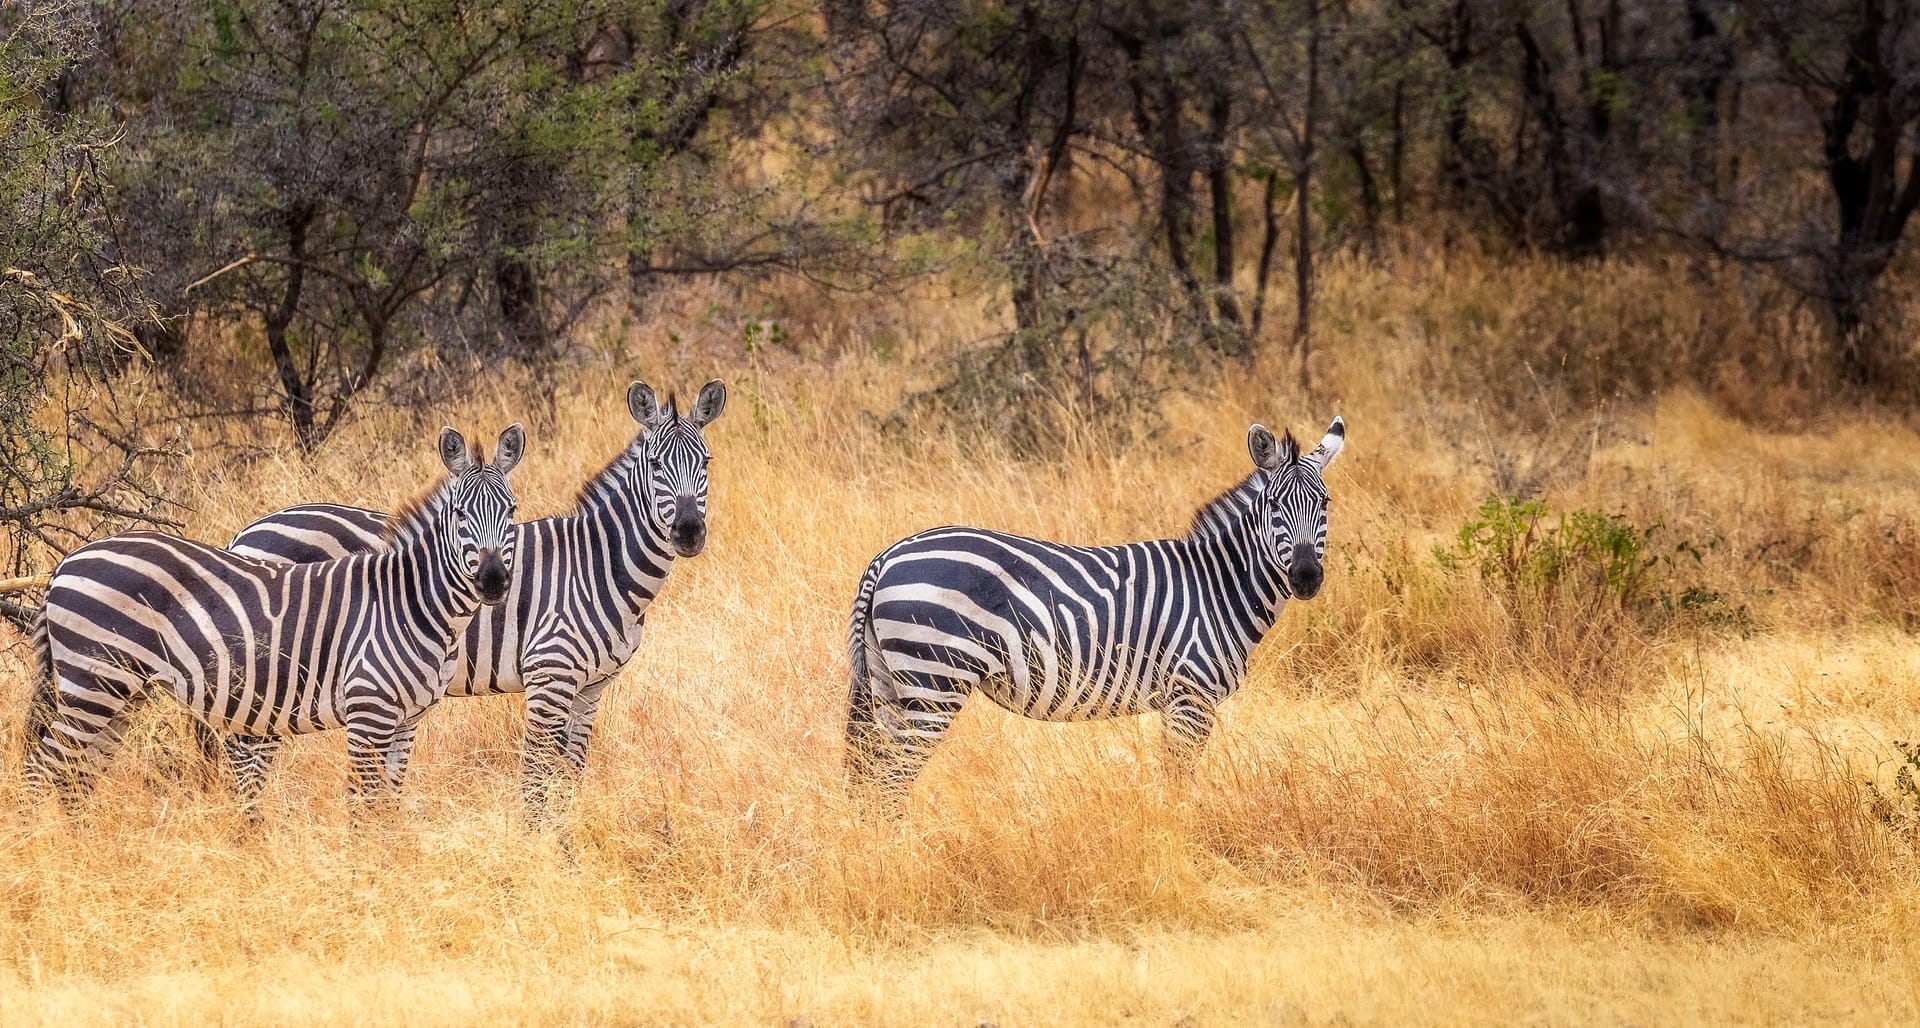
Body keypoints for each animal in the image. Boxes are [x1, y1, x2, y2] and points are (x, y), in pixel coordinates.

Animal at [25, 424, 525, 810]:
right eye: (459, 513)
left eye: (512, 510)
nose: (495, 581)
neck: (411, 602)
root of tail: (63, 565)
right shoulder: (369, 710)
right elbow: (365, 803)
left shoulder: (406, 719)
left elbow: (388, 801)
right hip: (93, 680)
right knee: (47, 765)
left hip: (122, 690)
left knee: (76, 772)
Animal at [218, 379, 726, 818]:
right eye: (655, 465)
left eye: (706, 463)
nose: (688, 533)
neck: (597, 566)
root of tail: (247, 532)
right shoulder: (550, 673)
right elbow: (537, 776)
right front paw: (540, 848)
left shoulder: (592, 688)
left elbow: (569, 775)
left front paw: (565, 846)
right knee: (246, 761)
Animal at [845, 416, 1344, 799]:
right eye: (1275, 504)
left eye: (1325, 502)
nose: (1306, 577)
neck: (1219, 584)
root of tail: (887, 556)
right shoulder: (1191, 695)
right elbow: (1178, 780)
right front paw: (1180, 835)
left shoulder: (1181, 700)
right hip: (934, 680)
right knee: (893, 780)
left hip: (888, 681)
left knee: (874, 780)